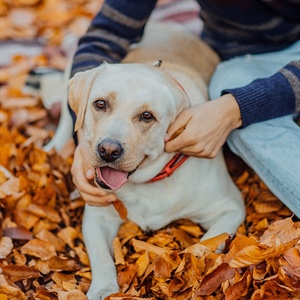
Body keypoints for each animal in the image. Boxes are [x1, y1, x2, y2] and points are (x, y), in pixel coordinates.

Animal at [68, 24, 246, 300]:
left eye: (147, 116)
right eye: (100, 103)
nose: (108, 150)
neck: (148, 181)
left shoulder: (230, 207)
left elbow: (207, 244)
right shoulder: (97, 215)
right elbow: (101, 258)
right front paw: (104, 288)